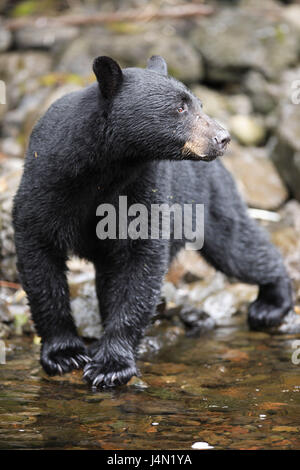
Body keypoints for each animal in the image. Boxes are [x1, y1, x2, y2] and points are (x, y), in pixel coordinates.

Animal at [13, 55, 292, 388]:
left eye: (199, 104)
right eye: (180, 108)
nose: (223, 138)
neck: (106, 167)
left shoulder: (145, 186)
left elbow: (140, 263)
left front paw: (111, 364)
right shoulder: (47, 182)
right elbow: (40, 257)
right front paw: (64, 354)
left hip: (209, 200)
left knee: (238, 249)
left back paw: (271, 303)